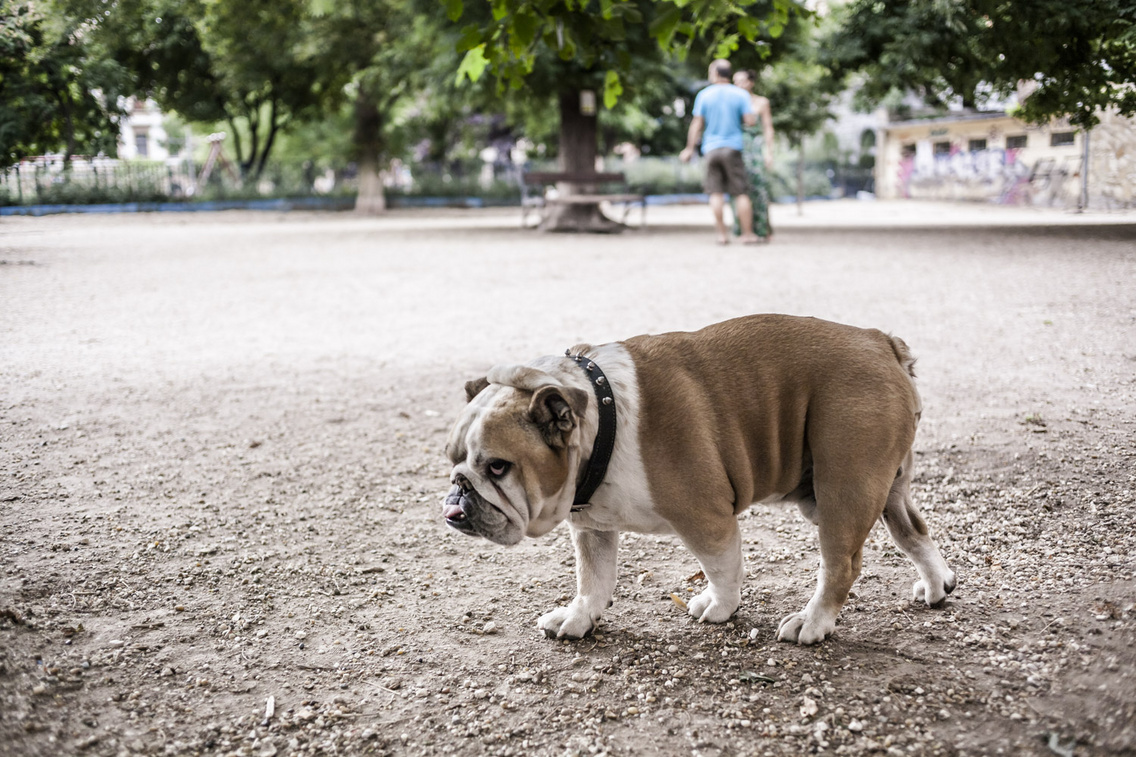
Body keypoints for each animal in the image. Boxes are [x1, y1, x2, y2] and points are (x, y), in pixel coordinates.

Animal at [438, 313, 954, 641]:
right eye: (452, 460)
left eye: (498, 467)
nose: (457, 497)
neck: (602, 420)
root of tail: (880, 341)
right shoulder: (592, 527)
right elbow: (594, 579)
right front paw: (579, 617)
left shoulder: (704, 518)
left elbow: (721, 567)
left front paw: (721, 608)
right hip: (882, 486)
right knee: (913, 530)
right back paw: (937, 586)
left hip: (845, 486)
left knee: (840, 564)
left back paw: (813, 623)